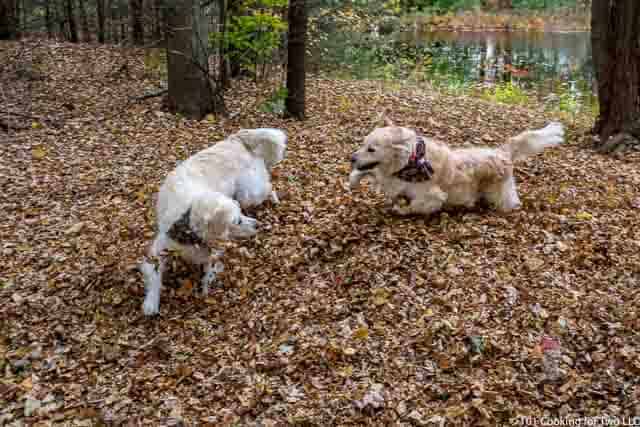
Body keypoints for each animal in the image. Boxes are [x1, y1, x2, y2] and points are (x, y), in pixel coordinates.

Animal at [143, 127, 290, 314]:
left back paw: (275, 199)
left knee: (269, 188)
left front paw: (206, 288)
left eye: (239, 216)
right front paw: (151, 302)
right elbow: (154, 273)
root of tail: (236, 138)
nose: (258, 225)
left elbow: (210, 268)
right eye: (237, 221)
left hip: (249, 194)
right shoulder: (160, 247)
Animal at [350, 118, 564, 216]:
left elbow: (415, 205)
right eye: (363, 144)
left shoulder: (433, 197)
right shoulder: (392, 178)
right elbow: (371, 172)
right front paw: (353, 180)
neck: (411, 164)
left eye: (371, 149)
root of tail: (502, 153)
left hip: (502, 196)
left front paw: (401, 209)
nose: (351, 158)